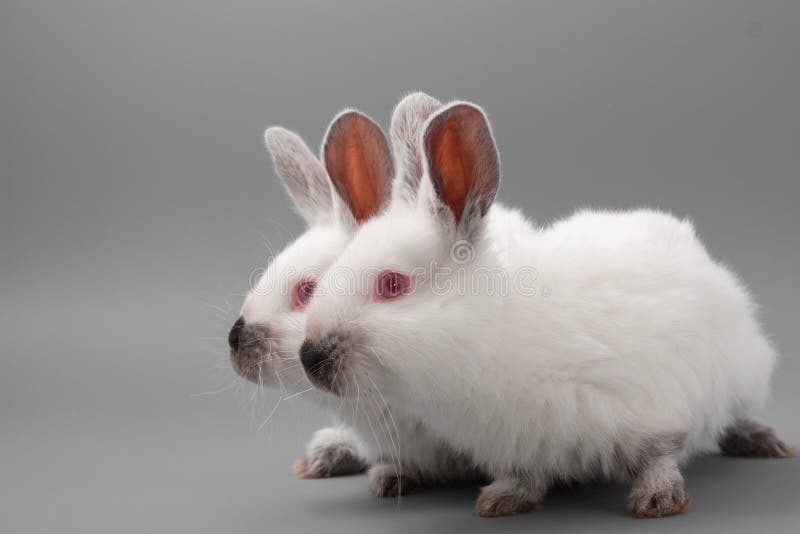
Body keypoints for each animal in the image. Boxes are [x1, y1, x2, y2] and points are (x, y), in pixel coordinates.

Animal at [299, 100, 795, 518]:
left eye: (392, 284)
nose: (310, 357)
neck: (486, 332)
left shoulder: (646, 406)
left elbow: (661, 452)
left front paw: (658, 500)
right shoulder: (518, 443)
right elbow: (527, 475)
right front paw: (502, 500)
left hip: (740, 369)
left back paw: (762, 440)